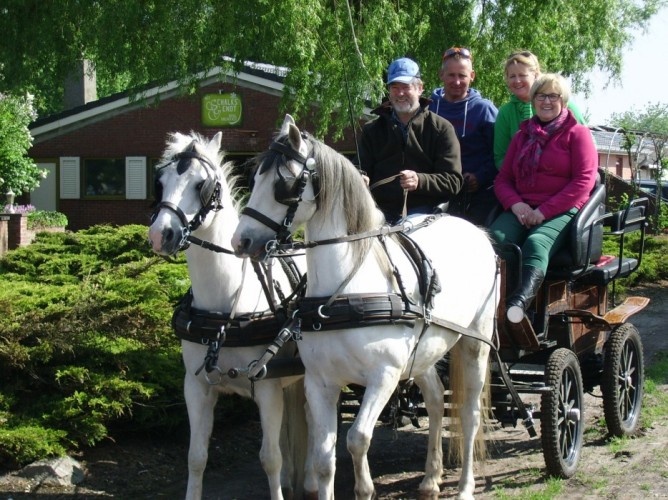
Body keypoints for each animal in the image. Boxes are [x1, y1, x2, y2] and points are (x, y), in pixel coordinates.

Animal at [149, 132, 310, 500]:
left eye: (202, 185)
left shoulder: (266, 387)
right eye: (160, 182)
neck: (223, 312)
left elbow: (269, 458)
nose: (160, 235)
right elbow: (196, 457)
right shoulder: (195, 387)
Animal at [232, 115, 498, 498]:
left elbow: (357, 439)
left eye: (284, 186)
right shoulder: (320, 382)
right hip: (424, 352)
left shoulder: (383, 376)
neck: (344, 292)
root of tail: (475, 230)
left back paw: (463, 487)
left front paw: (366, 488)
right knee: (435, 399)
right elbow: (323, 458)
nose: (241, 241)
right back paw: (430, 480)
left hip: (475, 344)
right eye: (253, 180)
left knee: (469, 414)